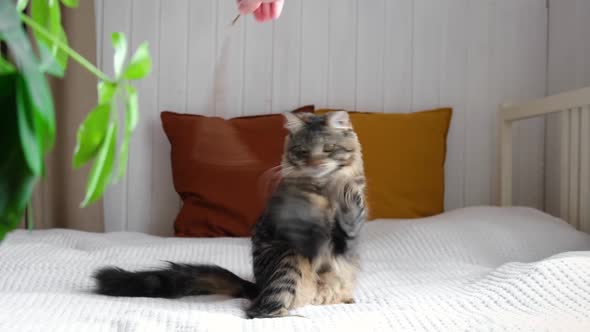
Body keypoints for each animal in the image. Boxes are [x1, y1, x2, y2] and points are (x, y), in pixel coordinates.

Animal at [94, 111, 368, 320]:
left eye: (329, 149)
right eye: (302, 152)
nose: (314, 163)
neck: (324, 190)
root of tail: (258, 286)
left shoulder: (351, 230)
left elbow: (348, 213)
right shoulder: (294, 227)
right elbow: (312, 229)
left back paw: (340, 299)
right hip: (288, 261)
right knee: (259, 310)